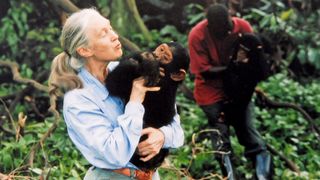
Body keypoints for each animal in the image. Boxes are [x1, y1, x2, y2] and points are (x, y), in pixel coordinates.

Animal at [105, 41, 190, 171]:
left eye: (166, 57)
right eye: (161, 49)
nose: (155, 54)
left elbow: (113, 84)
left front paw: (148, 62)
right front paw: (147, 59)